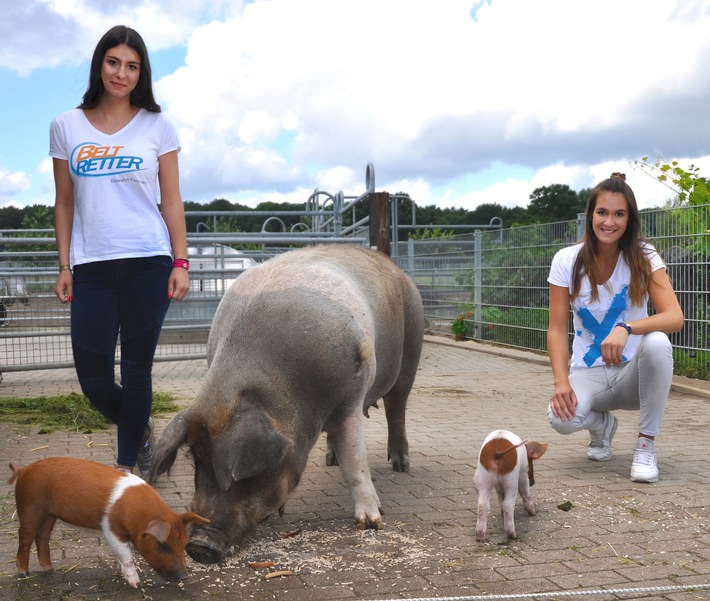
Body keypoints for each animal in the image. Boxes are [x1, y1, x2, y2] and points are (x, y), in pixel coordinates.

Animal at [150, 243, 426, 564]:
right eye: (197, 460)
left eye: (241, 476)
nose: (199, 547)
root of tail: (392, 266)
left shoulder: (350, 400)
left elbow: (356, 462)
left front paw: (371, 523)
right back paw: (331, 460)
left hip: (411, 349)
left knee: (397, 408)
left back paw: (401, 466)